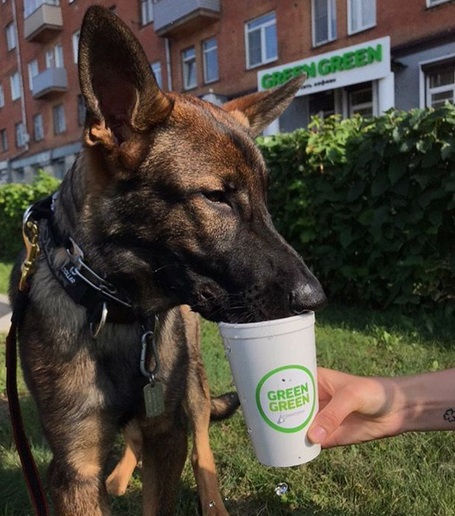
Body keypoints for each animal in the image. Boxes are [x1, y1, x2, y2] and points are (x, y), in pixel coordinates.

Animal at [8, 5, 326, 516]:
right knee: (135, 435)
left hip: (191, 382)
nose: (315, 298)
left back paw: (211, 502)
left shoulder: (169, 431)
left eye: (264, 197)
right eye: (216, 197)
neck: (116, 310)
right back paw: (121, 474)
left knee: (200, 439)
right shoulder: (74, 466)